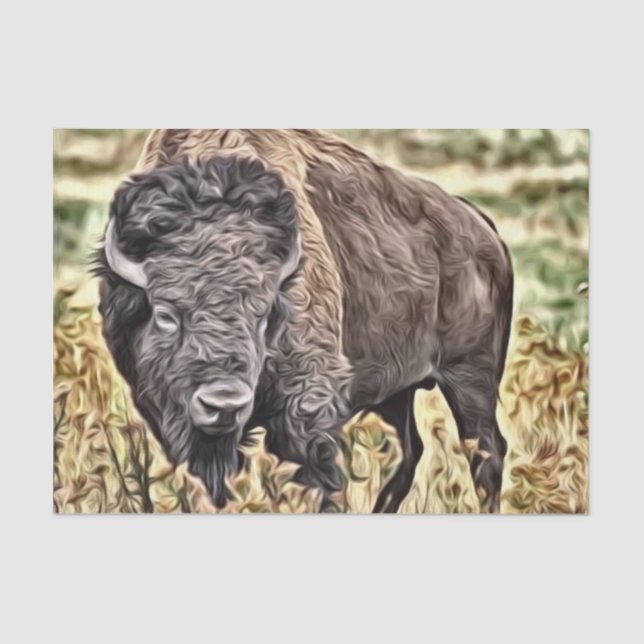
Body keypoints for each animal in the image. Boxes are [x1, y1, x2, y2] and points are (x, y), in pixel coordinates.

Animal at [97, 129, 513, 513]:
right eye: (165, 314)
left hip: (470, 378)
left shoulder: (307, 408)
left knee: (486, 451)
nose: (224, 404)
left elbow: (318, 482)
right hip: (398, 392)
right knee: (412, 451)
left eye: (264, 314)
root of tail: (484, 228)